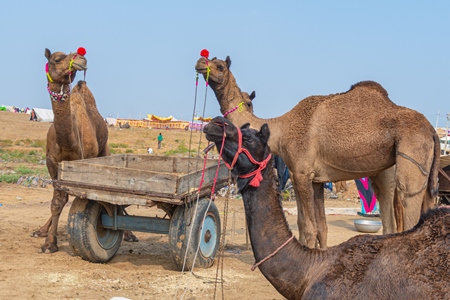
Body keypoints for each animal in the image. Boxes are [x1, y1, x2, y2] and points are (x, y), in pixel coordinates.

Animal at [32, 47, 137, 253]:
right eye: (57, 59)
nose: (81, 58)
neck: (68, 140)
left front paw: (50, 242)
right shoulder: (52, 162)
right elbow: (57, 201)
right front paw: (48, 242)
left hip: (104, 151)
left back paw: (130, 234)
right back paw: (40, 230)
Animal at [194, 55, 440, 248]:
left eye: (219, 66)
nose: (200, 62)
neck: (282, 129)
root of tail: (432, 131)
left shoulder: (301, 173)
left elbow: (309, 228)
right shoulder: (316, 180)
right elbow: (318, 227)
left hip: (412, 151)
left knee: (408, 199)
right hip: (388, 171)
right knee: (392, 210)